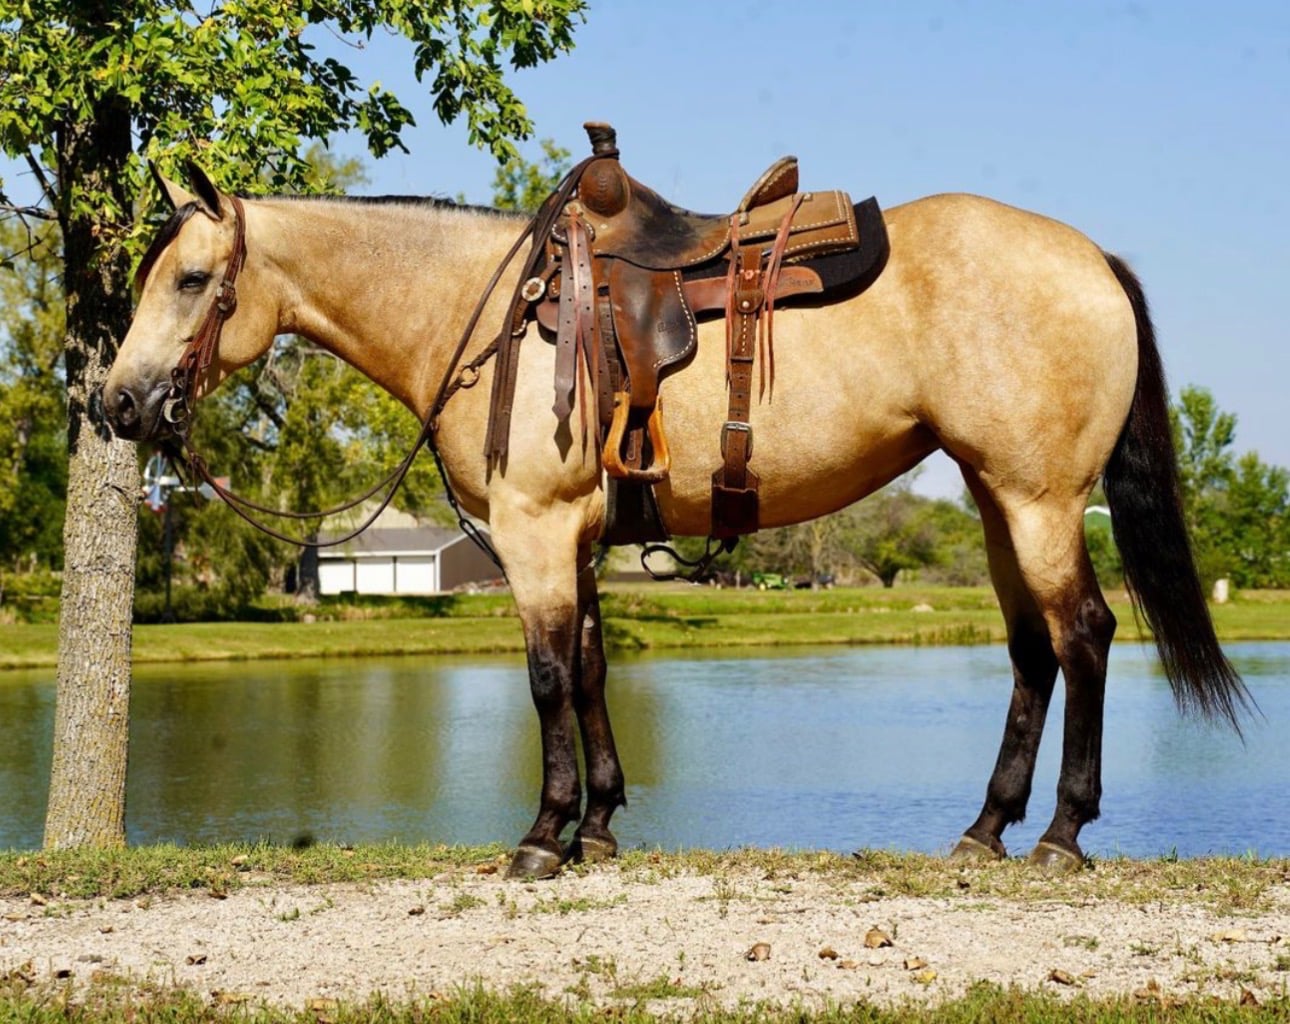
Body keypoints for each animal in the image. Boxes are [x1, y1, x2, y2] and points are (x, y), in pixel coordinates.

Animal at [103, 163, 1246, 878]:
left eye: (193, 280)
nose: (116, 404)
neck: (486, 312)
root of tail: (1092, 257)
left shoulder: (533, 532)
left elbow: (547, 677)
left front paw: (543, 835)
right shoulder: (572, 540)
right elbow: (592, 670)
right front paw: (601, 826)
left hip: (1039, 501)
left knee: (1084, 637)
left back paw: (1060, 834)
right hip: (998, 498)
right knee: (1030, 652)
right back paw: (985, 828)